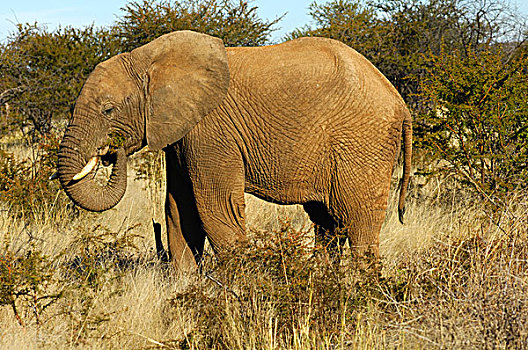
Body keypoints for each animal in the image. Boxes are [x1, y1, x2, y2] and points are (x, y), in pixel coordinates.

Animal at [57, 30, 412, 270]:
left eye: (108, 110)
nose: (110, 151)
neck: (150, 60)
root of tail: (400, 102)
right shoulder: (183, 133)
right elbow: (179, 208)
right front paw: (185, 286)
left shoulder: (210, 131)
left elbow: (215, 208)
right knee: (328, 221)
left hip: (362, 141)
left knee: (358, 221)